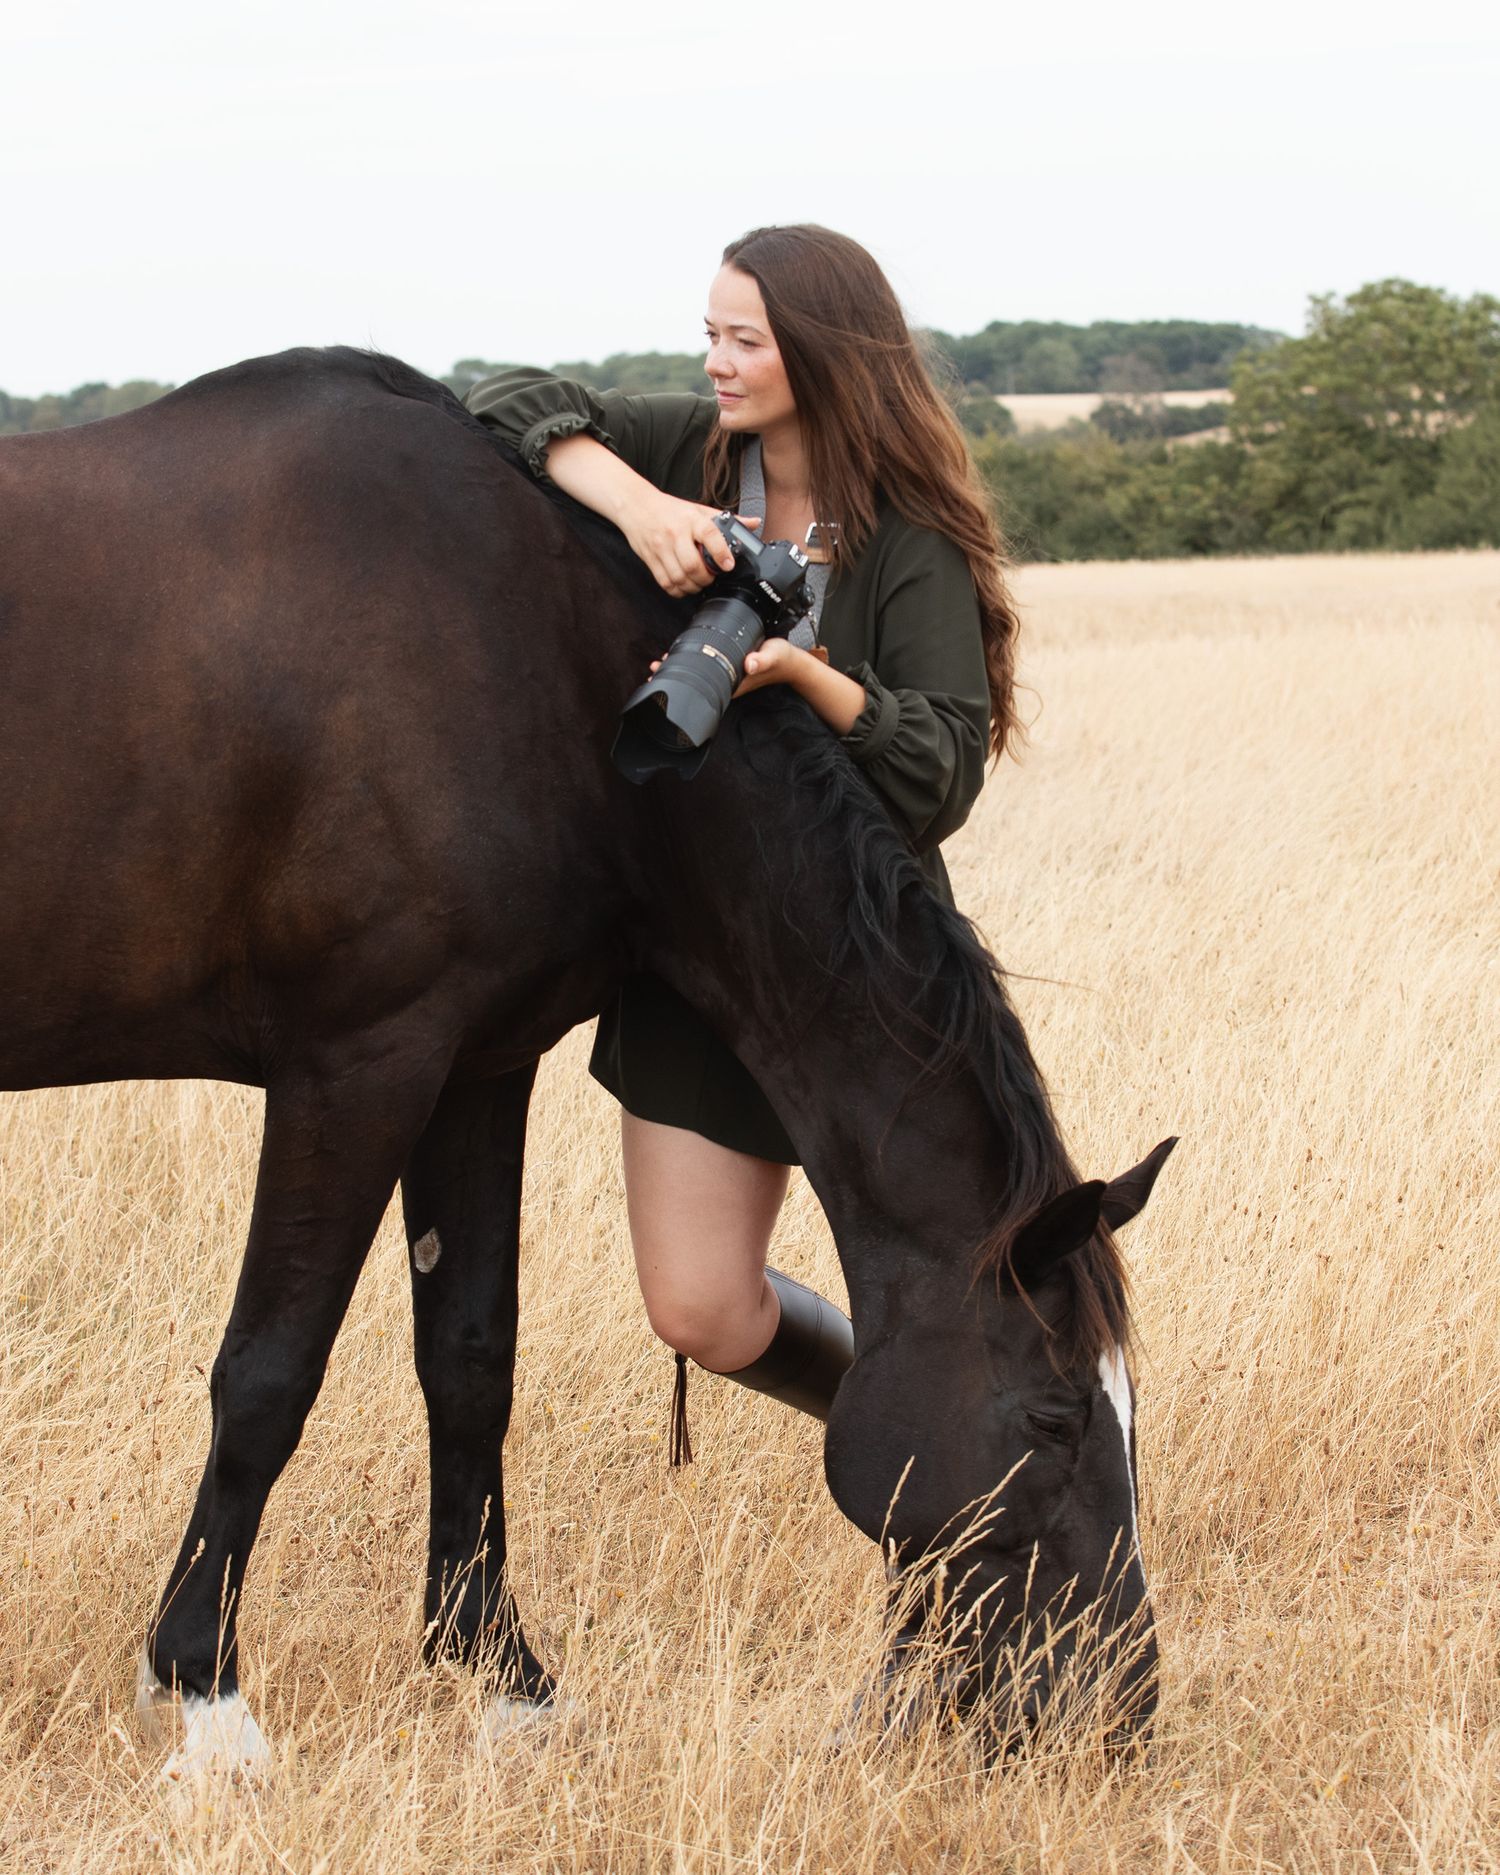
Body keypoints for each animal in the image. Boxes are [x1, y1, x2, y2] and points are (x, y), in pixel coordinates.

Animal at [0, 347, 1175, 1775]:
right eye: (1057, 1417)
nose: (1121, 1710)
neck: (530, 666)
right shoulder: (357, 1066)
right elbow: (269, 1373)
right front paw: (207, 1696)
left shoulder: (473, 1063)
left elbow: (469, 1360)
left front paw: (497, 1671)